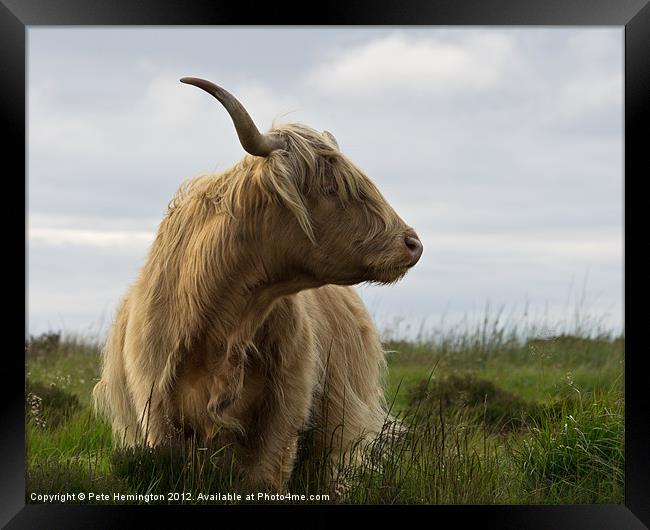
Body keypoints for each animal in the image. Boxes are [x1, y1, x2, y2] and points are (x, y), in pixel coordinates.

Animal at [93, 77, 422, 486]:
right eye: (331, 188)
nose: (412, 244)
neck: (220, 322)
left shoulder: (283, 418)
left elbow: (265, 478)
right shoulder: (156, 416)